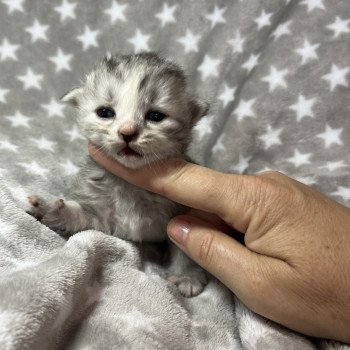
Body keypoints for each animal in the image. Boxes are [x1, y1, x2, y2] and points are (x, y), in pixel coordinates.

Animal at [28, 52, 209, 296]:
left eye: (155, 116)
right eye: (105, 113)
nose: (127, 132)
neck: (130, 184)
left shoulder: (183, 210)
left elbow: (183, 247)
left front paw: (186, 276)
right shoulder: (101, 216)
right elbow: (82, 218)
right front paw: (50, 208)